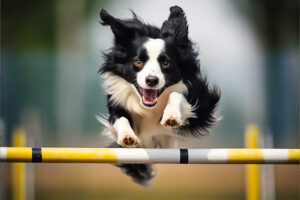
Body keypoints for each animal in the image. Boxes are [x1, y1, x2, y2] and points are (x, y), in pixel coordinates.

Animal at [98, 5, 220, 186]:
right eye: (138, 62)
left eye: (166, 63)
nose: (151, 80)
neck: (150, 107)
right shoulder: (116, 104)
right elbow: (120, 119)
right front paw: (127, 136)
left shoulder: (199, 104)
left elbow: (176, 95)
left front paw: (171, 116)